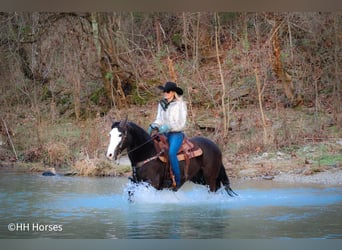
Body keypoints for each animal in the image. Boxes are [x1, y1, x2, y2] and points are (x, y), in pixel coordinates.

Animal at [105, 119, 236, 197]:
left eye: (120, 134)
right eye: (110, 134)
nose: (109, 154)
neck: (148, 153)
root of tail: (216, 147)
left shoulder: (152, 183)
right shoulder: (136, 182)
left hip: (210, 178)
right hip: (200, 178)